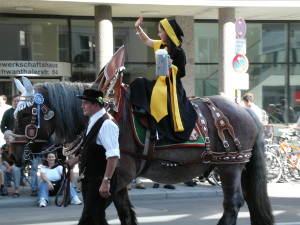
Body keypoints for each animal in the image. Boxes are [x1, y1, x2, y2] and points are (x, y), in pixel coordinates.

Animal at [9, 77, 274, 225]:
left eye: (25, 114)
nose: (12, 154)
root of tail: (243, 109)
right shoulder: (115, 182)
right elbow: (123, 214)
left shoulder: (116, 178)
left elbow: (94, 215)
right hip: (237, 167)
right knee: (249, 199)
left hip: (229, 166)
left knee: (233, 203)